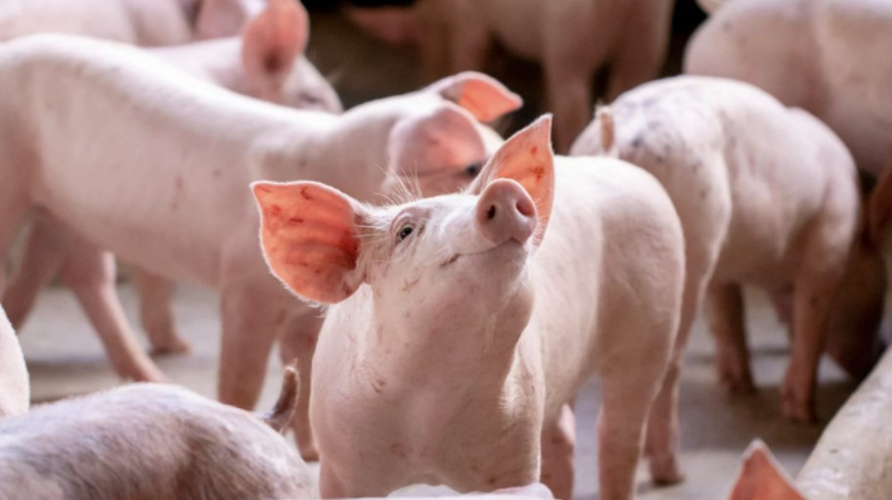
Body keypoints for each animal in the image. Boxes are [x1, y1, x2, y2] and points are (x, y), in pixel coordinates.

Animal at [253, 116, 686, 499]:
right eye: (404, 231)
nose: (505, 191)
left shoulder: (516, 443)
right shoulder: (340, 463)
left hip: (655, 322)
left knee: (620, 432)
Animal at [571, 76, 889, 425]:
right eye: (880, 291)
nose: (879, 349)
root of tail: (615, 136)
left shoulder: (722, 266)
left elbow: (727, 312)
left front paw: (738, 385)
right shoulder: (829, 245)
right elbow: (811, 325)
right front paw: (804, 415)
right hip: (691, 243)